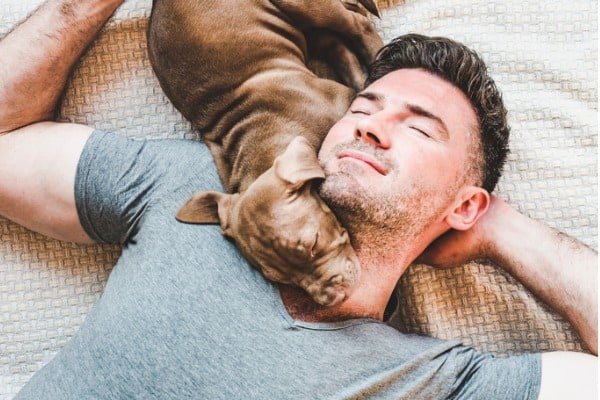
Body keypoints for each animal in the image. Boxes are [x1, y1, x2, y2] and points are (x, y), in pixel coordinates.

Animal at [148, 0, 382, 306]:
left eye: (313, 244)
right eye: (281, 279)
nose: (333, 299)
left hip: (307, 7)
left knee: (356, 24)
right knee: (338, 39)